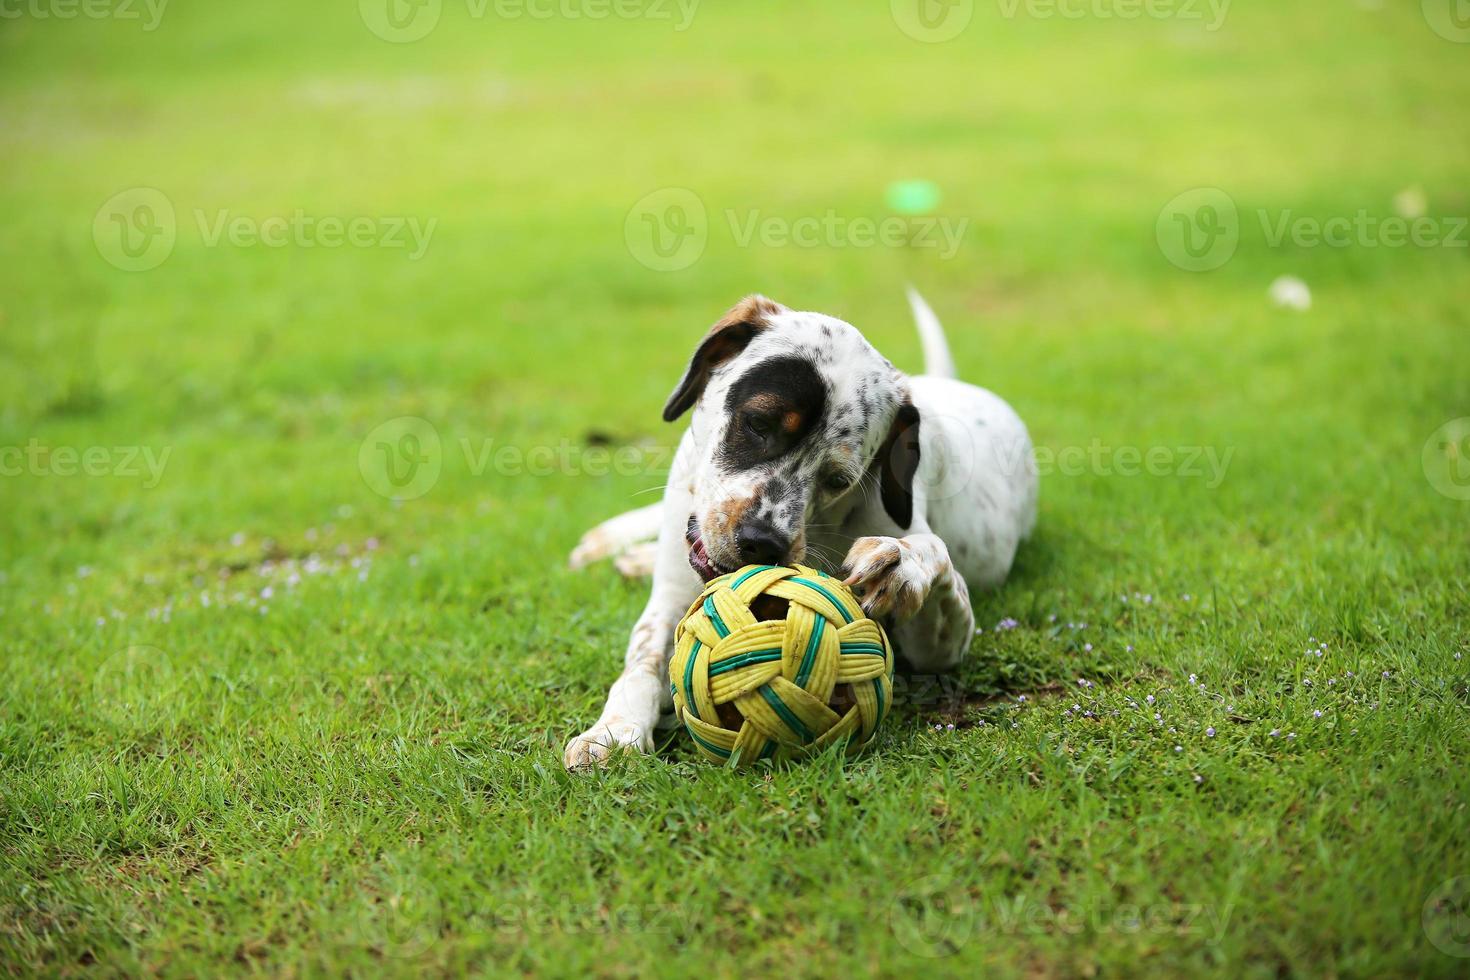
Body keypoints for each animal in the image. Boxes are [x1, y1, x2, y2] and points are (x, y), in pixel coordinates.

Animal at [561, 287, 1034, 769]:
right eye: (758, 423)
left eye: (838, 479)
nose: (762, 544)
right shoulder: (669, 599)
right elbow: (641, 661)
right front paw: (614, 730)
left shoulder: (939, 648)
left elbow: (933, 556)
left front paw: (901, 564)